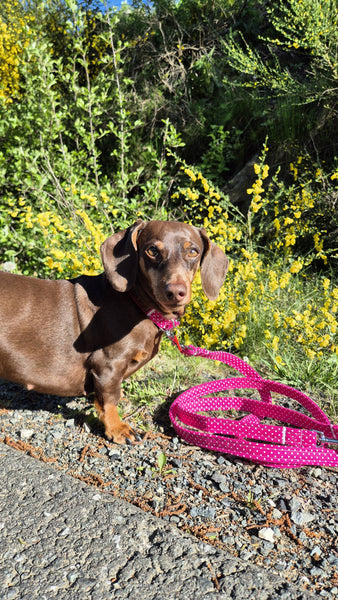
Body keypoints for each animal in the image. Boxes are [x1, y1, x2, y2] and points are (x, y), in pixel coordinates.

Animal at [0, 219, 228, 440]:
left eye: (193, 251)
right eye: (152, 250)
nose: (175, 292)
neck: (137, 303)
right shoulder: (108, 364)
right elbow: (109, 401)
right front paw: (117, 428)